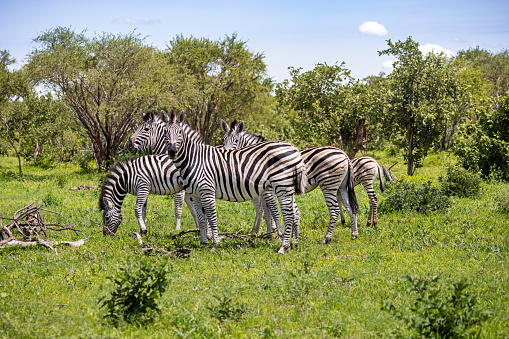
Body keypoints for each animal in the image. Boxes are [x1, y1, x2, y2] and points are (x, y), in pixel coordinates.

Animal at [127, 110, 284, 238]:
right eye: (137, 127)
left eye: (146, 129)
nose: (129, 144)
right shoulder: (189, 189)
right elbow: (193, 210)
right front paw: (200, 229)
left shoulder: (181, 189)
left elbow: (178, 208)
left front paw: (178, 229)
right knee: (261, 206)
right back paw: (259, 230)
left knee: (265, 206)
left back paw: (269, 231)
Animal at [165, 112, 306, 255]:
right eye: (165, 132)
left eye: (180, 132)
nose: (172, 151)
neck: (194, 159)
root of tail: (293, 147)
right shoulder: (196, 194)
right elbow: (202, 220)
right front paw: (203, 243)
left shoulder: (207, 190)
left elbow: (212, 218)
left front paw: (215, 245)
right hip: (287, 187)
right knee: (294, 213)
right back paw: (293, 243)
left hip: (282, 186)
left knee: (288, 216)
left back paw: (283, 247)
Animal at [220, 119, 360, 244]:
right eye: (223, 139)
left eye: (236, 140)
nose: (225, 154)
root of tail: (344, 154)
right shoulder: (265, 190)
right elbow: (267, 213)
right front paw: (270, 234)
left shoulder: (268, 190)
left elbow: (271, 211)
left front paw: (276, 234)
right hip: (341, 186)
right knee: (350, 207)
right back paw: (354, 234)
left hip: (328, 184)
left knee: (335, 210)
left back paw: (326, 238)